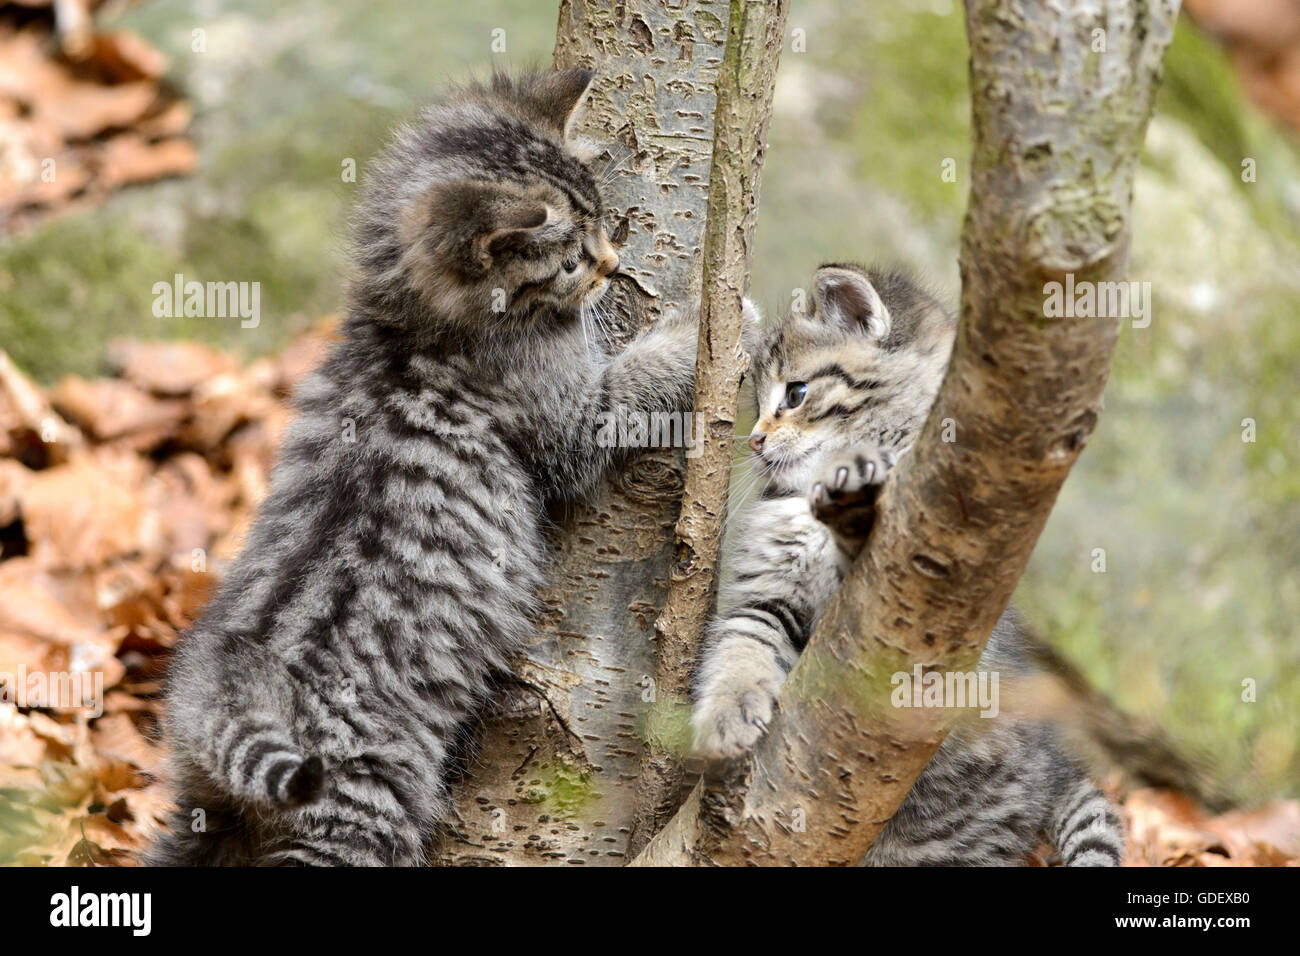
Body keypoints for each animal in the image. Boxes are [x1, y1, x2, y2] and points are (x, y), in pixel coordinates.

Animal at [147, 69, 707, 868]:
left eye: (602, 220)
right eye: (570, 258)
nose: (610, 265)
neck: (409, 329)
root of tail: (230, 696)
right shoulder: (572, 418)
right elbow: (630, 386)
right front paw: (703, 330)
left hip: (200, 822)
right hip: (360, 807)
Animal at [691, 264, 1128, 868]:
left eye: (795, 393)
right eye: (754, 401)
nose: (754, 441)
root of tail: (1055, 774)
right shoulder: (770, 596)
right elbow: (741, 642)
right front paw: (724, 715)